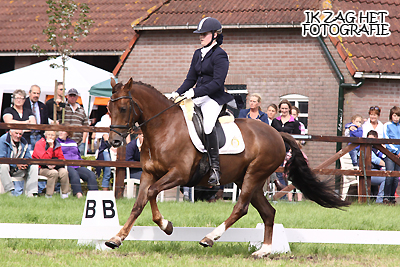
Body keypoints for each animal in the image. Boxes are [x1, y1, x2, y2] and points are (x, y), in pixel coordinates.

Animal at [104, 78, 348, 258]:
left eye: (123, 108)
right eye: (108, 107)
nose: (114, 141)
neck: (164, 128)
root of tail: (277, 133)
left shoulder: (179, 174)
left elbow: (152, 193)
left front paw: (166, 226)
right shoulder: (149, 173)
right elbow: (139, 203)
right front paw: (116, 238)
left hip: (254, 175)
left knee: (241, 207)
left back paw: (210, 238)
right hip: (248, 179)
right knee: (268, 212)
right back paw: (264, 251)